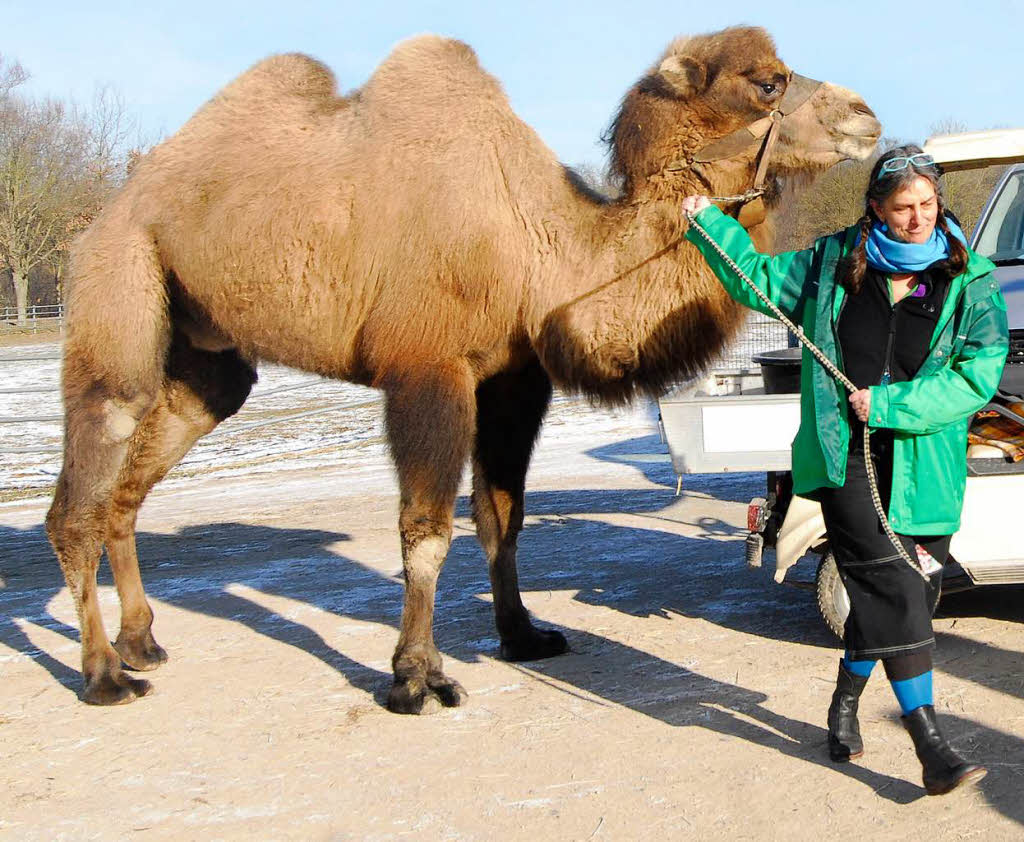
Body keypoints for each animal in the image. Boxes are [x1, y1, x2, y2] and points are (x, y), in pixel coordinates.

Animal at [46, 24, 880, 712]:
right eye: (767, 82)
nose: (866, 115)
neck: (539, 248)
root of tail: (112, 206)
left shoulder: (514, 379)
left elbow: (502, 519)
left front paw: (523, 635)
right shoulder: (429, 368)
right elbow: (426, 529)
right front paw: (417, 677)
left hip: (206, 355)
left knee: (132, 486)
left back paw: (142, 640)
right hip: (118, 281)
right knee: (88, 471)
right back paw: (103, 674)